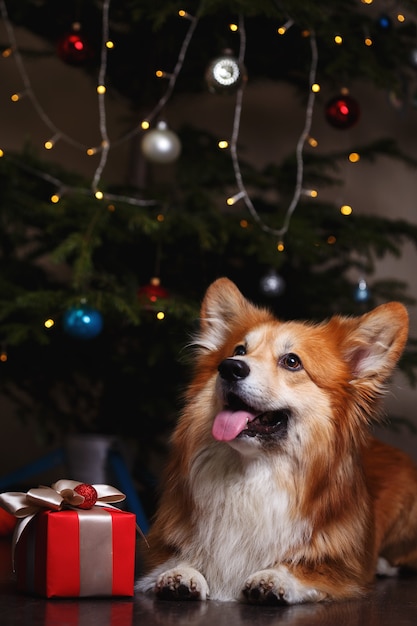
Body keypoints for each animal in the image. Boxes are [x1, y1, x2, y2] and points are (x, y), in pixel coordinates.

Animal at [136, 276, 416, 600]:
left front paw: (273, 578)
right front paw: (181, 572)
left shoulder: (343, 567)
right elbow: (176, 558)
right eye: (239, 350)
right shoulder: (162, 543)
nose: (229, 367)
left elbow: (304, 567)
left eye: (292, 361)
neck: (253, 474)